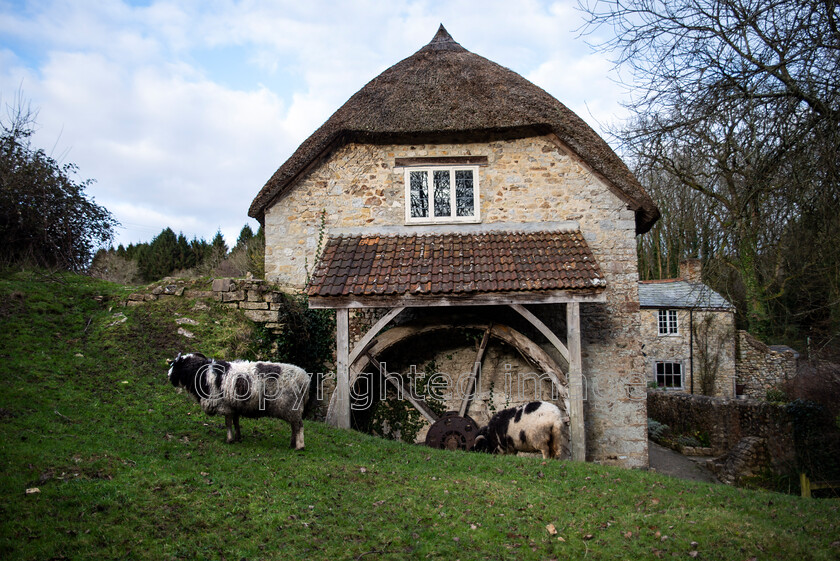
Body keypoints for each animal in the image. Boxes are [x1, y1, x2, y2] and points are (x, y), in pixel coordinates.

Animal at [166, 352, 310, 448]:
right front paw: (238, 438)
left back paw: (299, 446)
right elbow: (236, 422)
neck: (202, 374)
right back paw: (292, 444)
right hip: (292, 409)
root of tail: (305, 379)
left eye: (175, 365)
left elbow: (228, 423)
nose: (168, 376)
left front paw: (229, 440)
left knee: (299, 426)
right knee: (294, 426)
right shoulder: (234, 406)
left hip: (291, 407)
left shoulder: (226, 406)